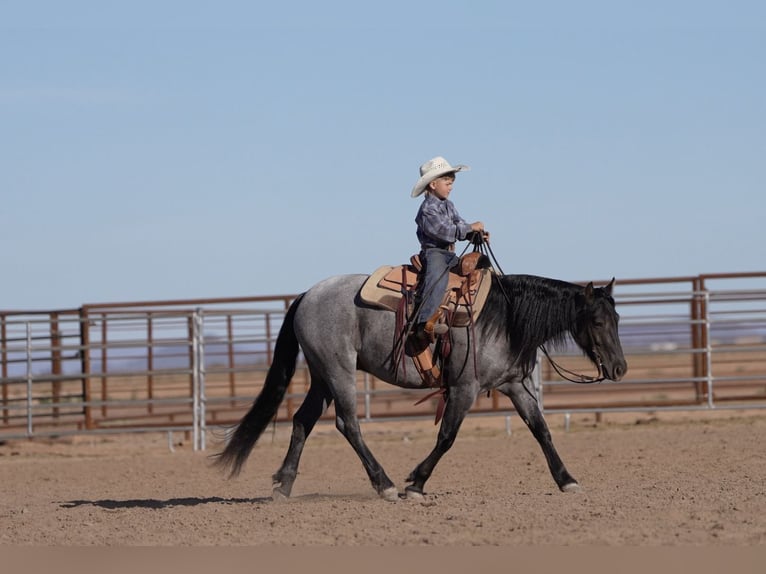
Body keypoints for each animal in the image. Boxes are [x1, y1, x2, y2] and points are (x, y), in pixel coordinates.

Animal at [214, 272, 627, 501]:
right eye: (597, 321)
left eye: (618, 318)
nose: (620, 368)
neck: (504, 317)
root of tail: (306, 296)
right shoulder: (464, 387)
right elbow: (447, 437)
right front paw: (416, 482)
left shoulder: (514, 385)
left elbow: (541, 430)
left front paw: (567, 480)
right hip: (339, 370)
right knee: (348, 424)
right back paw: (385, 485)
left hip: (322, 376)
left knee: (303, 420)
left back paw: (283, 485)